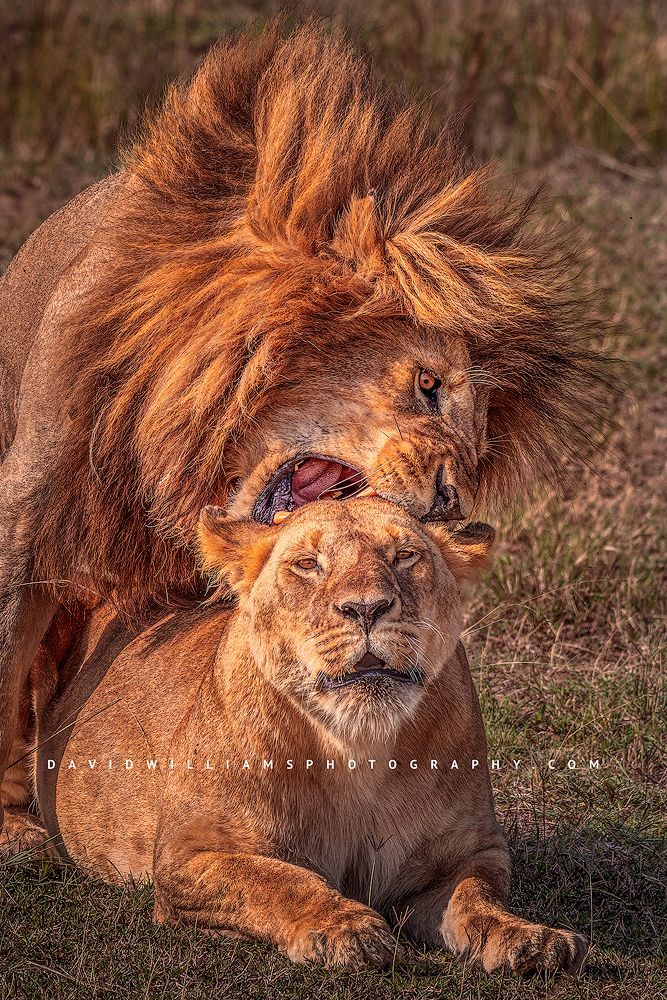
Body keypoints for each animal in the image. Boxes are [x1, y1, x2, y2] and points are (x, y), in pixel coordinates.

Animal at [21, 498, 587, 975]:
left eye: (405, 556)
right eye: (309, 564)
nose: (366, 608)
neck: (359, 749)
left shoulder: (467, 854)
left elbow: (477, 897)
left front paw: (530, 939)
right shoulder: (187, 856)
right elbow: (278, 880)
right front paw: (346, 928)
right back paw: (26, 842)